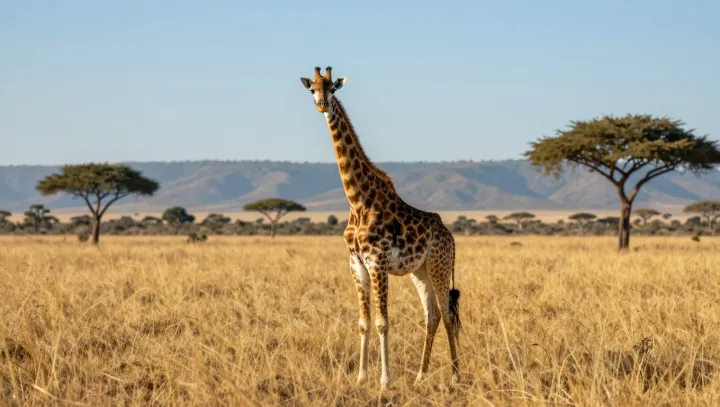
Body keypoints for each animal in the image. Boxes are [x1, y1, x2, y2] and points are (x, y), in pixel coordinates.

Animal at [300, 66, 461, 390]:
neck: (358, 201)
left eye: (332, 89)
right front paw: (361, 377)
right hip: (420, 271)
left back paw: (455, 376)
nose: (322, 105)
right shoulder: (356, 264)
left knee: (447, 314)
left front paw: (385, 380)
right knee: (432, 316)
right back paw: (420, 376)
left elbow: (382, 322)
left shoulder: (378, 261)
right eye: (312, 89)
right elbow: (363, 322)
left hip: (439, 267)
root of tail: (451, 238)